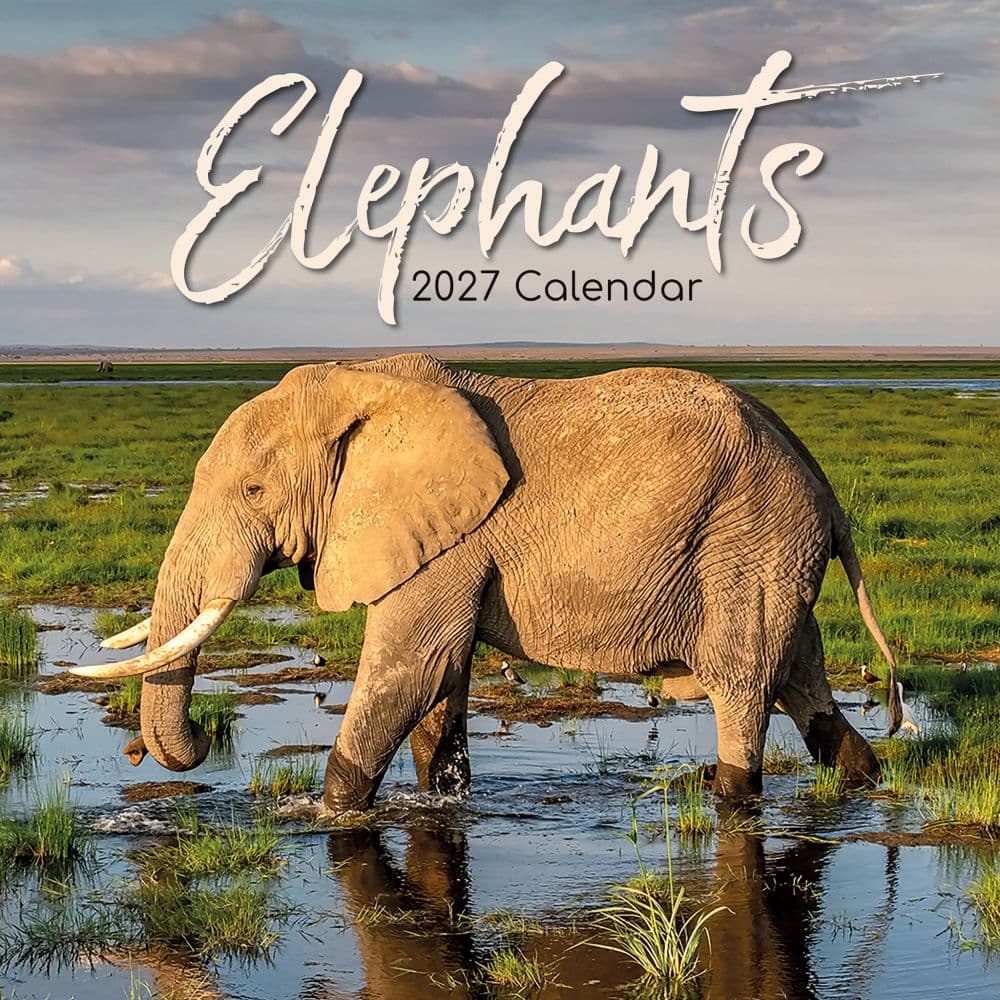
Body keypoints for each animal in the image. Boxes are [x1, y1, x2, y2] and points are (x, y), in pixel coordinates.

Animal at [73, 353, 902, 812]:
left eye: (252, 491)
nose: (185, 744)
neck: (362, 384)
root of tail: (825, 491)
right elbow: (442, 683)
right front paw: (443, 802)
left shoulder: (447, 538)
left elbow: (414, 665)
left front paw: (328, 814)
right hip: (770, 553)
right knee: (800, 676)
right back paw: (864, 780)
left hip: (749, 542)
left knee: (741, 681)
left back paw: (731, 795)